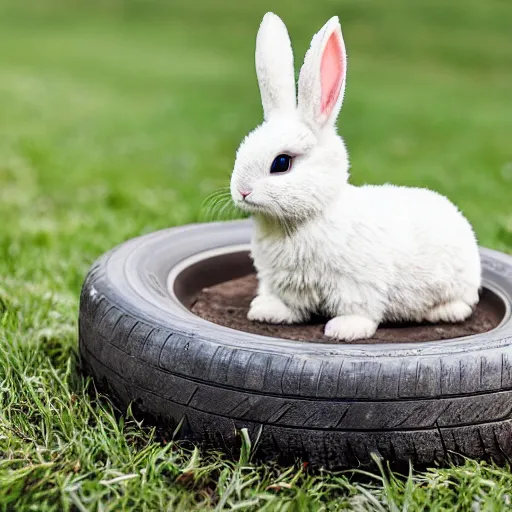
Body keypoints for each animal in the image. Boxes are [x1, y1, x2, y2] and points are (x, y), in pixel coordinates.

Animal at [230, 13, 482, 340]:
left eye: (281, 163)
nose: (242, 191)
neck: (304, 220)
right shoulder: (286, 284)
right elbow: (290, 305)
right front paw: (266, 311)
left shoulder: (357, 283)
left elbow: (358, 308)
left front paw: (343, 330)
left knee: (463, 304)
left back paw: (442, 312)